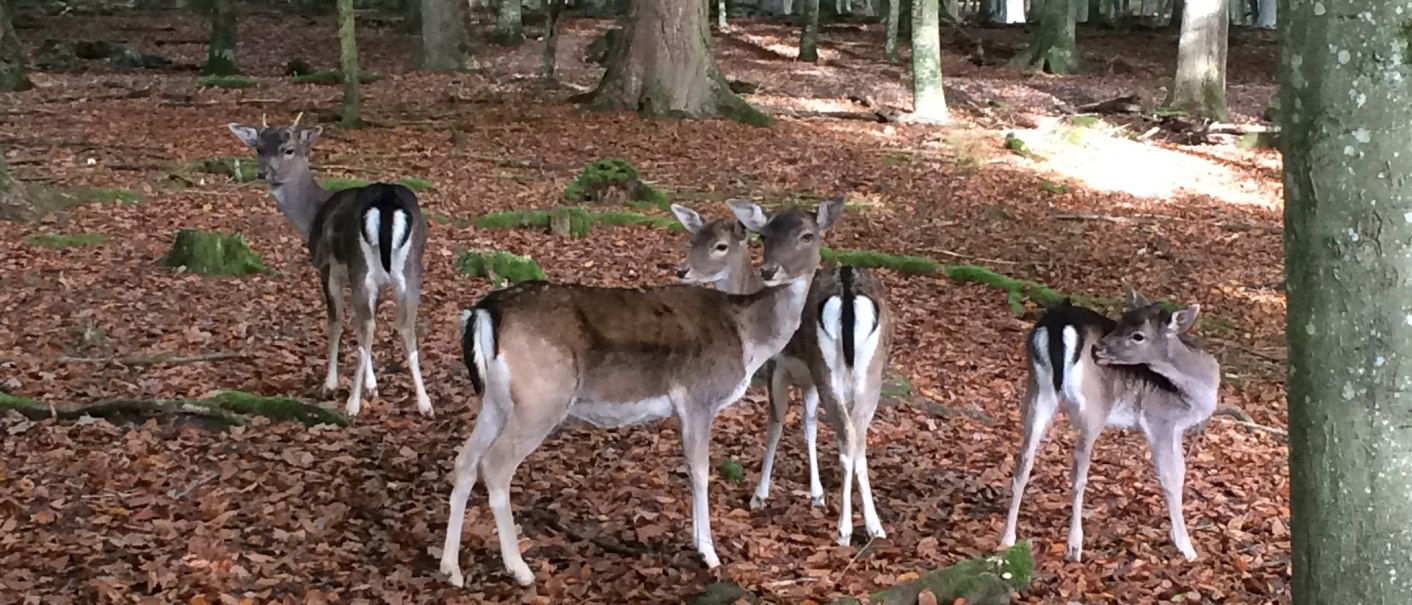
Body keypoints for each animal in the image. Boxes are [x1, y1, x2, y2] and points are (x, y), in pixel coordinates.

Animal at [225, 114, 432, 415]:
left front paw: (331, 384)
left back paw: (352, 404)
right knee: (404, 326)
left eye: (289, 149)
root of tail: (387, 202)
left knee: (367, 327)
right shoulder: (378, 281)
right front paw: (372, 386)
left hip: (361, 266)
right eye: (258, 148)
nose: (263, 173)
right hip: (411, 268)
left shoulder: (327, 266)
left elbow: (336, 321)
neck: (312, 214)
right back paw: (425, 403)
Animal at [434, 197, 841, 585]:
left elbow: (689, 468)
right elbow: (701, 470)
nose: (772, 271)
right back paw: (520, 569)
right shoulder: (699, 396)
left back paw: (451, 569)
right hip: (542, 397)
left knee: (464, 461)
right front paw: (709, 554)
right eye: (765, 236)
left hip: (496, 400)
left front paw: (697, 542)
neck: (749, 338)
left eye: (807, 235)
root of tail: (483, 312)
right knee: (495, 465)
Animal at [672, 204, 892, 548]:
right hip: (870, 374)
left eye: (720, 245)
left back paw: (844, 531)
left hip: (831, 371)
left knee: (847, 440)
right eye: (693, 238)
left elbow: (775, 424)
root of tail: (848, 289)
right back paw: (874, 526)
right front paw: (816, 495)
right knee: (859, 439)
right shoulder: (809, 378)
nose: (682, 271)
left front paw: (758, 496)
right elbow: (809, 425)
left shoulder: (777, 366)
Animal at [999, 288, 1219, 562]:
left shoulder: (1174, 430)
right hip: (1093, 407)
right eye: (1122, 320)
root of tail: (1059, 323)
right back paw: (1074, 546)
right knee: (1078, 472)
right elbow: (1170, 478)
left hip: (1037, 391)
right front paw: (1186, 547)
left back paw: (1006, 540)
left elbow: (1180, 472)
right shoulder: (1160, 421)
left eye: (1137, 334)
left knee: (1023, 461)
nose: (1099, 347)